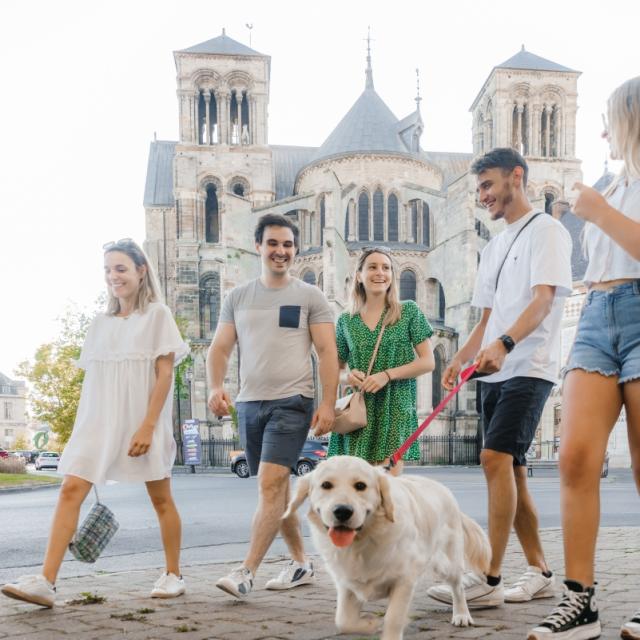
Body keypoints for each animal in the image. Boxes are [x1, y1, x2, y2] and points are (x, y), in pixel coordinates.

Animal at [284, 456, 490, 640]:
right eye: (326, 485)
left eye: (361, 486)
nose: (342, 511)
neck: (363, 541)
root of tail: (444, 490)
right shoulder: (347, 583)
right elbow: (343, 620)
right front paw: (369, 623)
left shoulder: (404, 580)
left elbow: (393, 618)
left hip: (447, 562)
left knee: (458, 587)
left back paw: (462, 615)